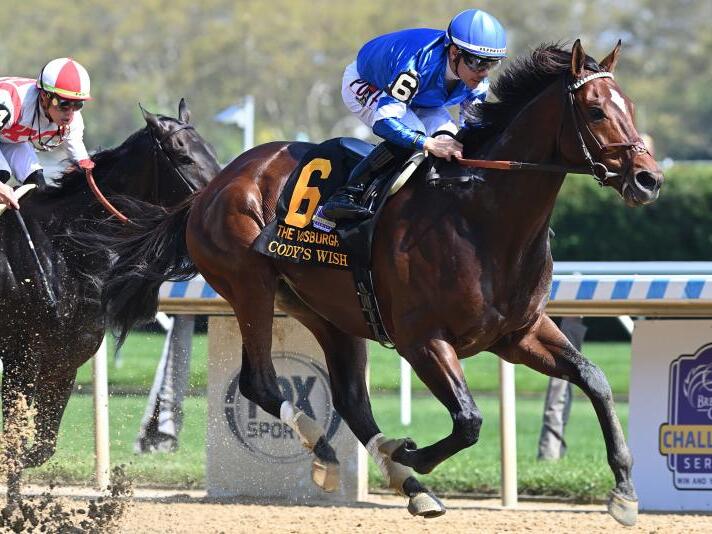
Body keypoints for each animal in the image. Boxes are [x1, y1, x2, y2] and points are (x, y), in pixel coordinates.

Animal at [0, 100, 221, 500]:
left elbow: (38, 447)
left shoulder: (65, 359)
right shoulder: (21, 353)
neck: (60, 247)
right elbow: (13, 441)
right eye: (183, 156)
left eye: (209, 149)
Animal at [97, 41, 663, 523]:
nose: (648, 179)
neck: (480, 214)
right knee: (262, 382)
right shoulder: (422, 339)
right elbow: (469, 419)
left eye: (631, 106)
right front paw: (413, 451)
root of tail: (213, 185)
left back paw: (401, 481)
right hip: (249, 284)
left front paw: (624, 491)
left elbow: (594, 378)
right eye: (595, 110)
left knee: (350, 400)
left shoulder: (516, 333)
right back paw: (341, 451)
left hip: (327, 311)